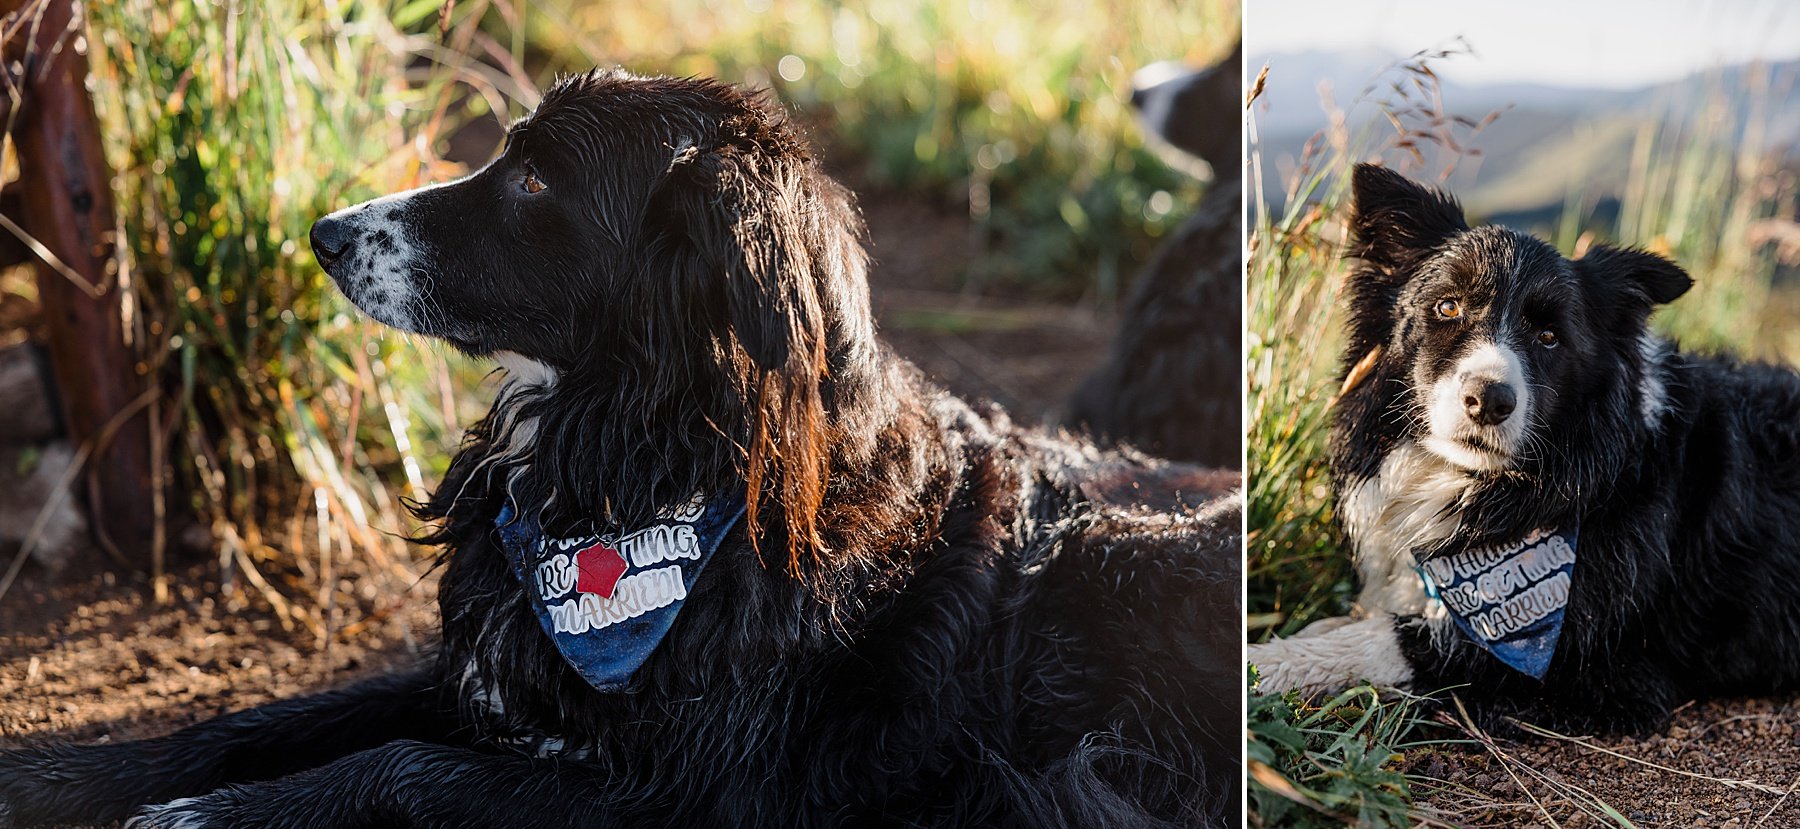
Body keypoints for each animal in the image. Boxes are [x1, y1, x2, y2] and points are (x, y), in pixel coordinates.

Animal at [0, 72, 1238, 827]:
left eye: (535, 178)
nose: (323, 234)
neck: (637, 455)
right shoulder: (497, 680)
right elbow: (257, 720)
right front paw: (53, 773)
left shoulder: (682, 795)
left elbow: (400, 765)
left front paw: (217, 816)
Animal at [1252, 164, 1800, 733]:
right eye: (1447, 306)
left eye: (1550, 335)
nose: (1489, 400)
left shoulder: (1590, 666)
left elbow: (1392, 639)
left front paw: (1264, 664)